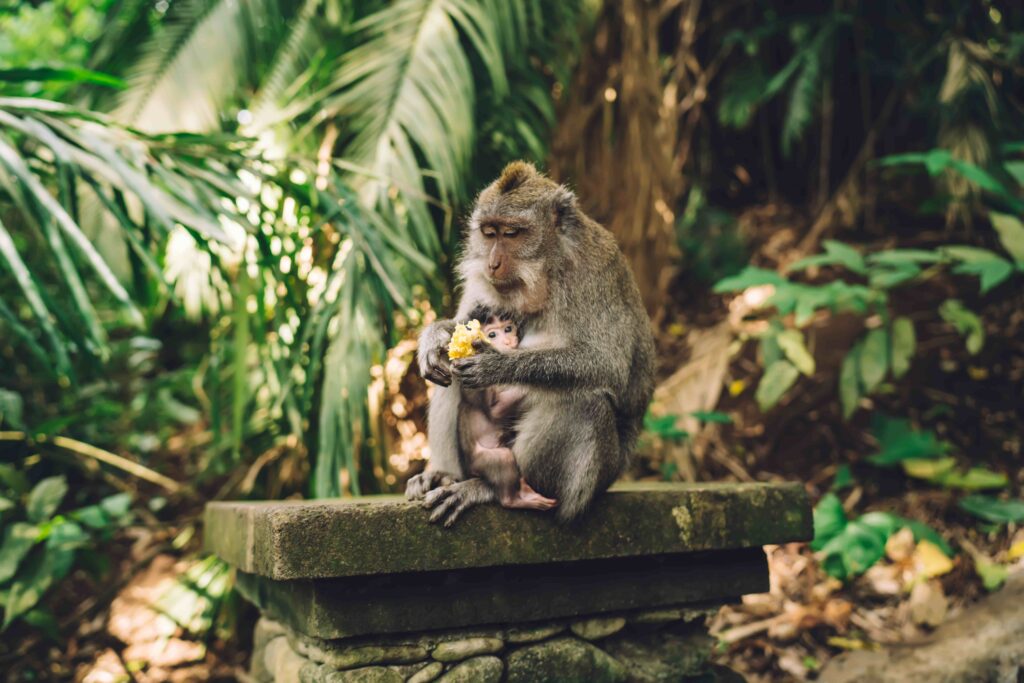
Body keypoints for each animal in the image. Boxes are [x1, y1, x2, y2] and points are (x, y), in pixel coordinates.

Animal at [458, 309, 557, 511]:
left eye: (508, 329)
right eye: (492, 335)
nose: (508, 341)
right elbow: (494, 411)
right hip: (481, 460)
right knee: (503, 459)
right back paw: (515, 500)